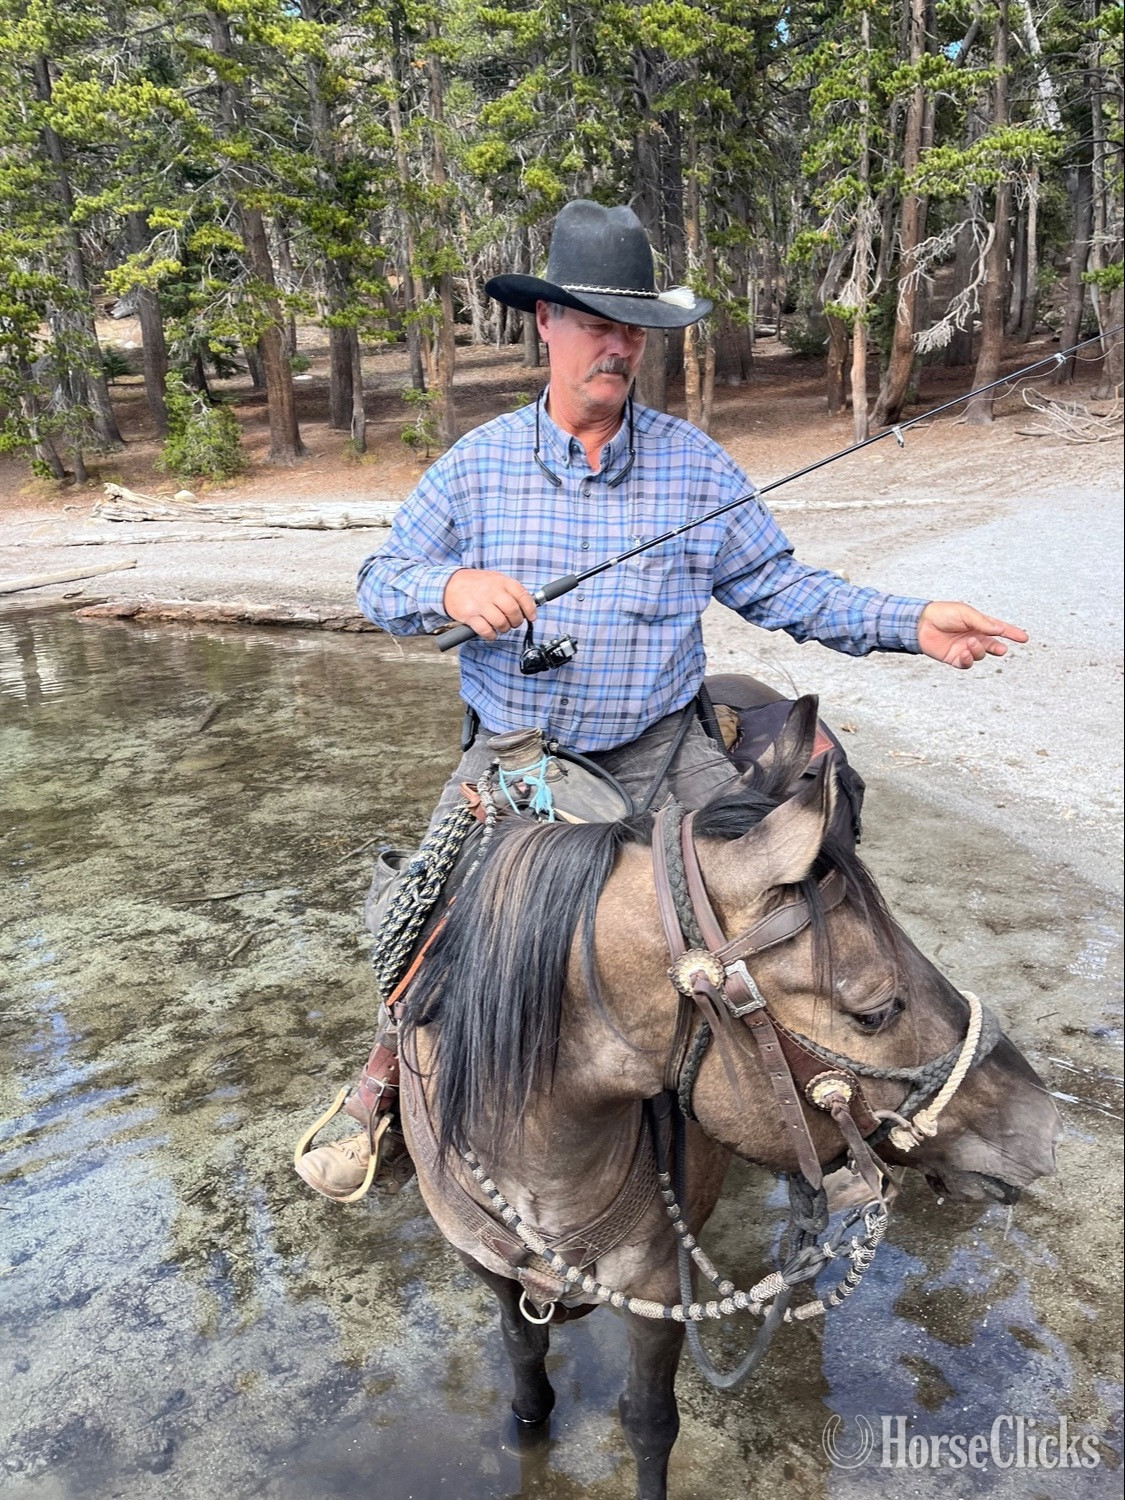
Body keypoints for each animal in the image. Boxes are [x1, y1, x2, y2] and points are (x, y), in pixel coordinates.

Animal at [394, 696, 1061, 1500]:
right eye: (875, 1010)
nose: (1040, 1126)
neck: (543, 1156)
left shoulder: (658, 1293)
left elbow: (649, 1423)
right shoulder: (491, 1275)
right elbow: (528, 1379)